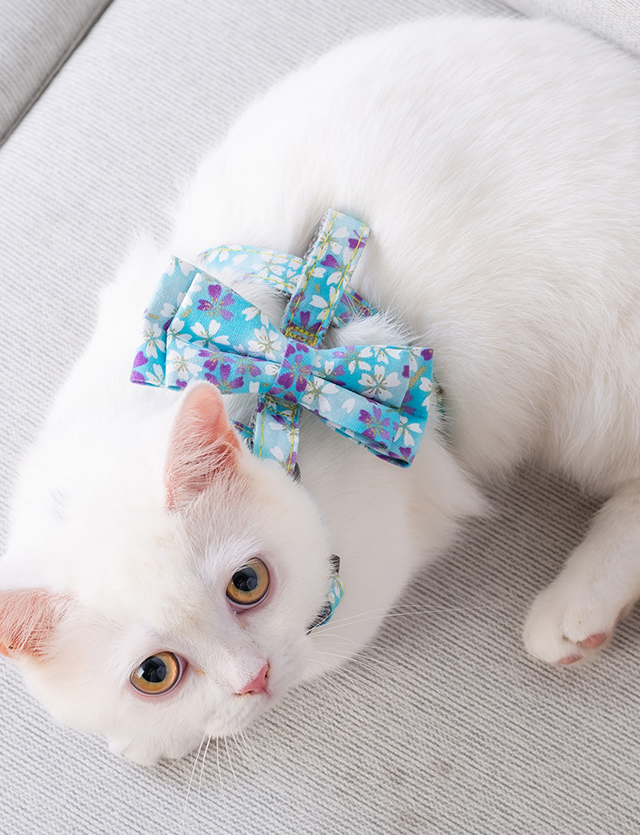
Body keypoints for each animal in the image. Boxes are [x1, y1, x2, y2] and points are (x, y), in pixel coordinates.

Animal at [1, 15, 639, 766]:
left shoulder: (363, 579)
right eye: (154, 672)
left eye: (248, 583)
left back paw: (578, 606)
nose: (253, 677)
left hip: (599, 391)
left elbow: (312, 654)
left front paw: (153, 740)